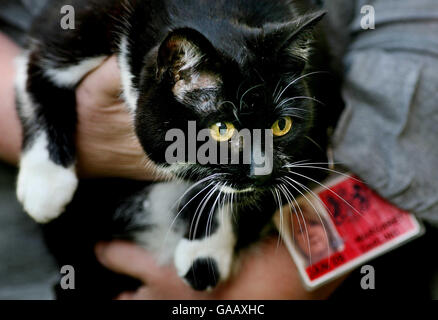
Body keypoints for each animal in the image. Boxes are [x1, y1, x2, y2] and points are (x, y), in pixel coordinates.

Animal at [15, 0, 342, 296]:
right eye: (222, 129)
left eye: (281, 125)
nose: (262, 172)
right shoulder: (74, 23)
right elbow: (41, 73)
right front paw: (45, 186)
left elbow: (231, 193)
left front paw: (205, 254)